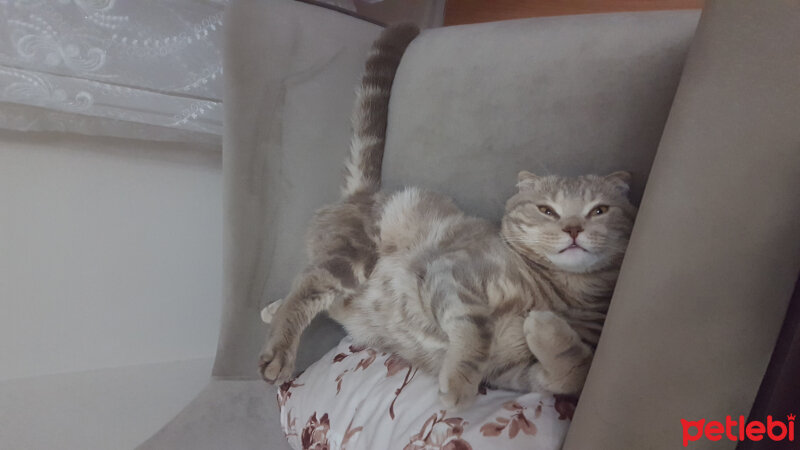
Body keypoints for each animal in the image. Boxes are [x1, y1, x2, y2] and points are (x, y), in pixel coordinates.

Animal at [260, 24, 636, 412]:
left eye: (599, 210)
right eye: (547, 209)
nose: (573, 228)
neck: (561, 295)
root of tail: (362, 194)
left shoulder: (514, 372)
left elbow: (573, 372)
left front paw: (545, 328)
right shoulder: (453, 273)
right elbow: (476, 330)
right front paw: (460, 382)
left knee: (307, 286)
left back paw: (272, 310)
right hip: (353, 259)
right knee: (308, 286)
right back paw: (279, 351)